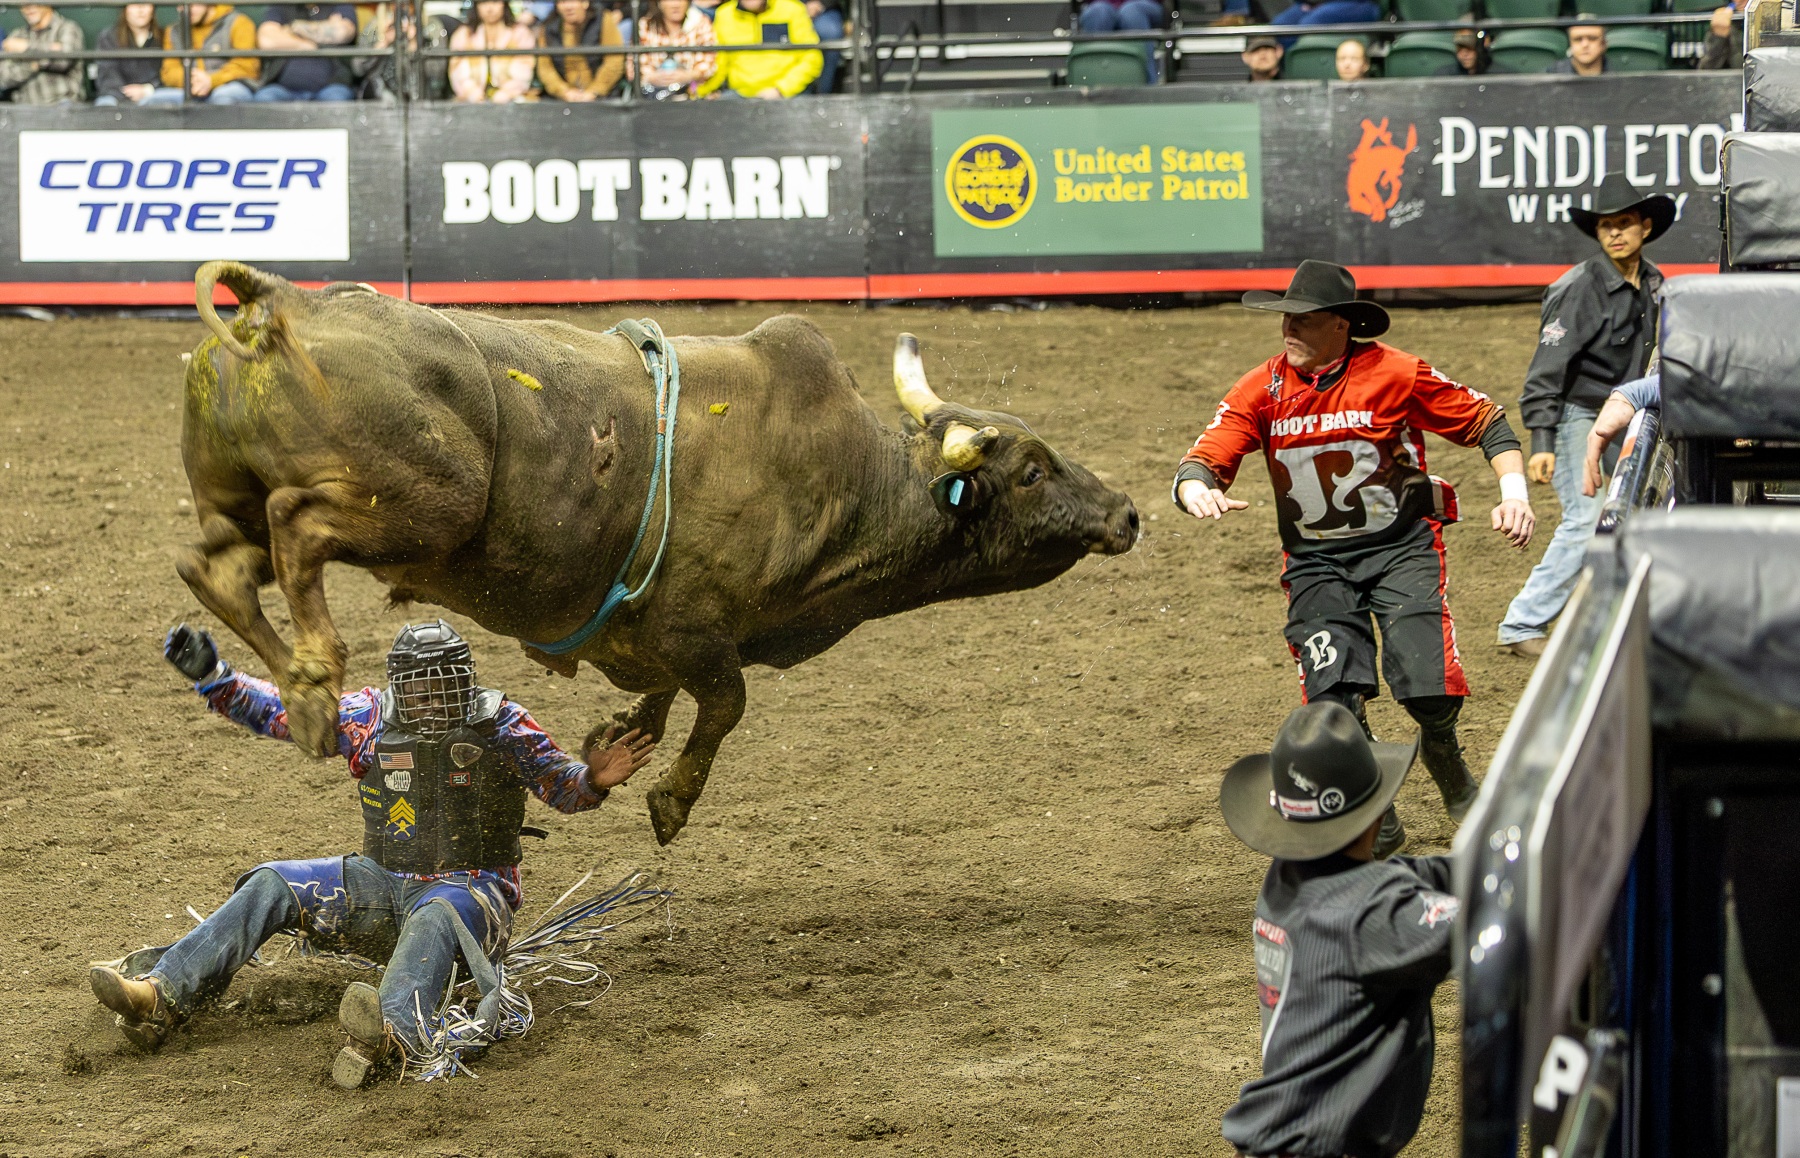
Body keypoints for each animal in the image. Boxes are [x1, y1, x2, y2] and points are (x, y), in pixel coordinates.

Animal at [176, 261, 1139, 844]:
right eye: (1032, 470)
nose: (1127, 512)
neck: (852, 484)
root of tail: (290, 299)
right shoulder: (699, 628)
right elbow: (726, 704)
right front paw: (671, 798)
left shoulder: (655, 639)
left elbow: (665, 698)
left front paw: (622, 734)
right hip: (427, 506)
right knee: (296, 527)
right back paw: (314, 677)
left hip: (241, 501)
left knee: (215, 564)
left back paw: (300, 692)